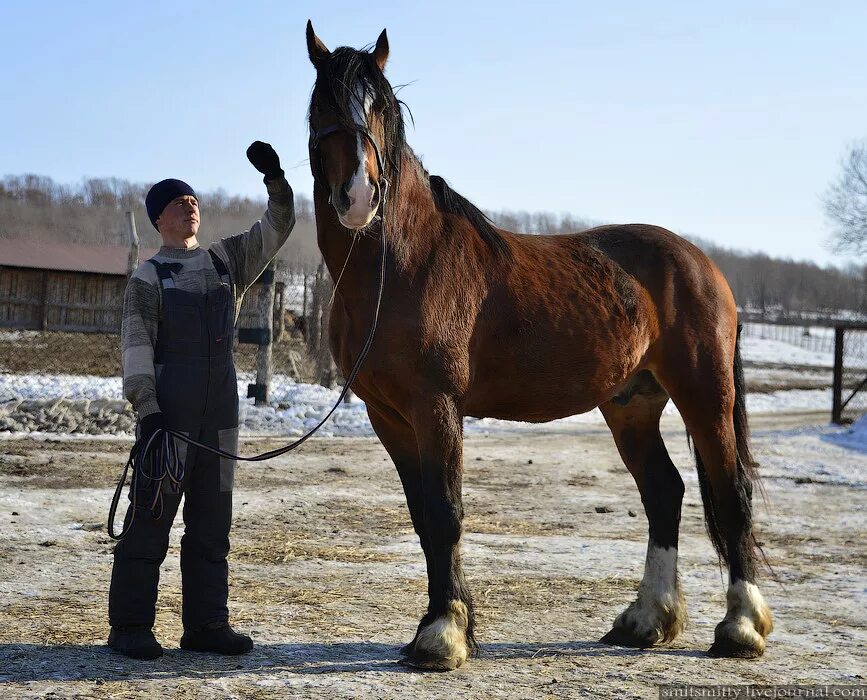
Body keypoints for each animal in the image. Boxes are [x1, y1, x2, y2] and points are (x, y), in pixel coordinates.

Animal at [306, 20, 772, 668]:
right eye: (322, 105)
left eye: (380, 107)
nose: (357, 196)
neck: (403, 265)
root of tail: (702, 264)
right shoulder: (388, 416)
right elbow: (424, 518)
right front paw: (440, 627)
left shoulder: (436, 406)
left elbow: (446, 513)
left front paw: (443, 635)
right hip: (632, 405)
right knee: (665, 493)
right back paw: (645, 621)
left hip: (706, 395)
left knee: (731, 492)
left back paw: (740, 628)